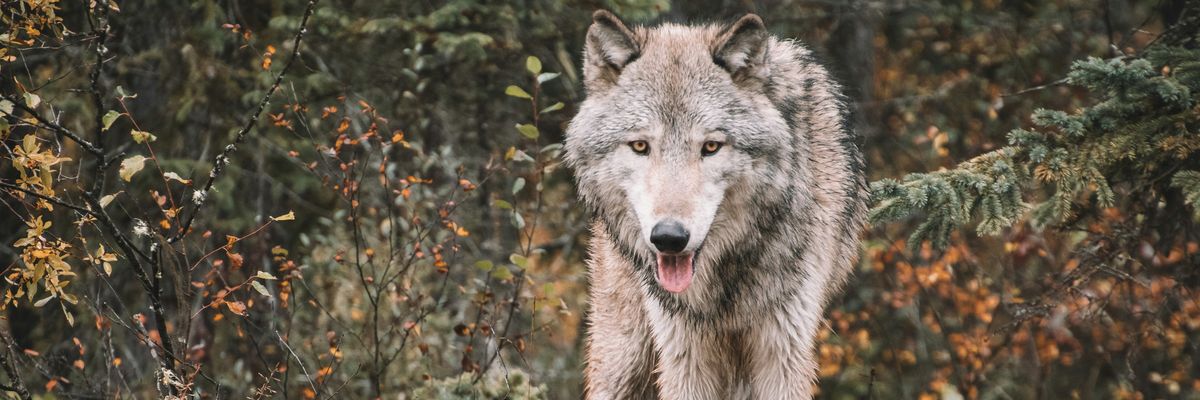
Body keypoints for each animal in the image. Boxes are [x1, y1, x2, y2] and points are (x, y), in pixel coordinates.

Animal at [564, 10, 867, 399]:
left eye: (710, 147)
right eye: (640, 146)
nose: (669, 237)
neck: (723, 286)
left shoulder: (783, 349)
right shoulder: (684, 352)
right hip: (623, 357)